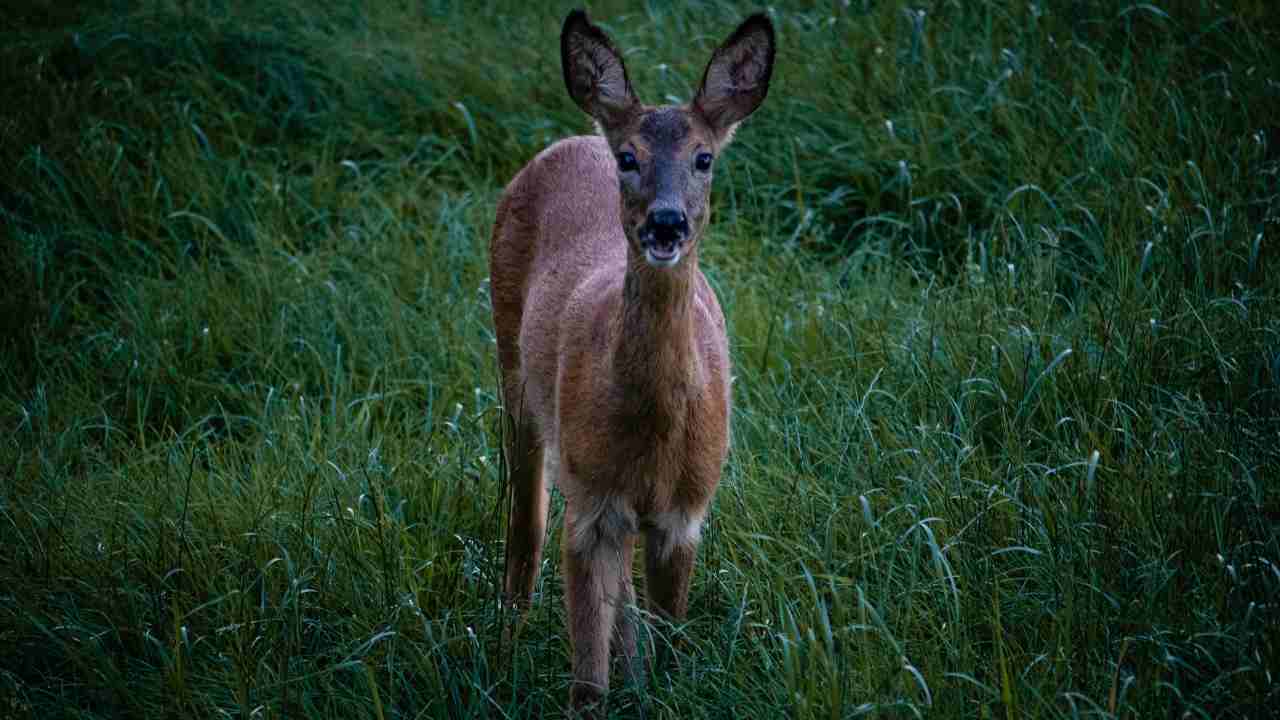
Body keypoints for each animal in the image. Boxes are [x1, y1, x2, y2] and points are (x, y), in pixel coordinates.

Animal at [486, 7, 768, 712]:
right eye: (630, 159)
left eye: (704, 157)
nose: (666, 223)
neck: (654, 435)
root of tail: (575, 136)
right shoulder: (589, 506)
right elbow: (588, 684)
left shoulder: (685, 513)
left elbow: (669, 643)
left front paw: (655, 687)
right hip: (513, 372)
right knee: (523, 531)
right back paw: (501, 654)